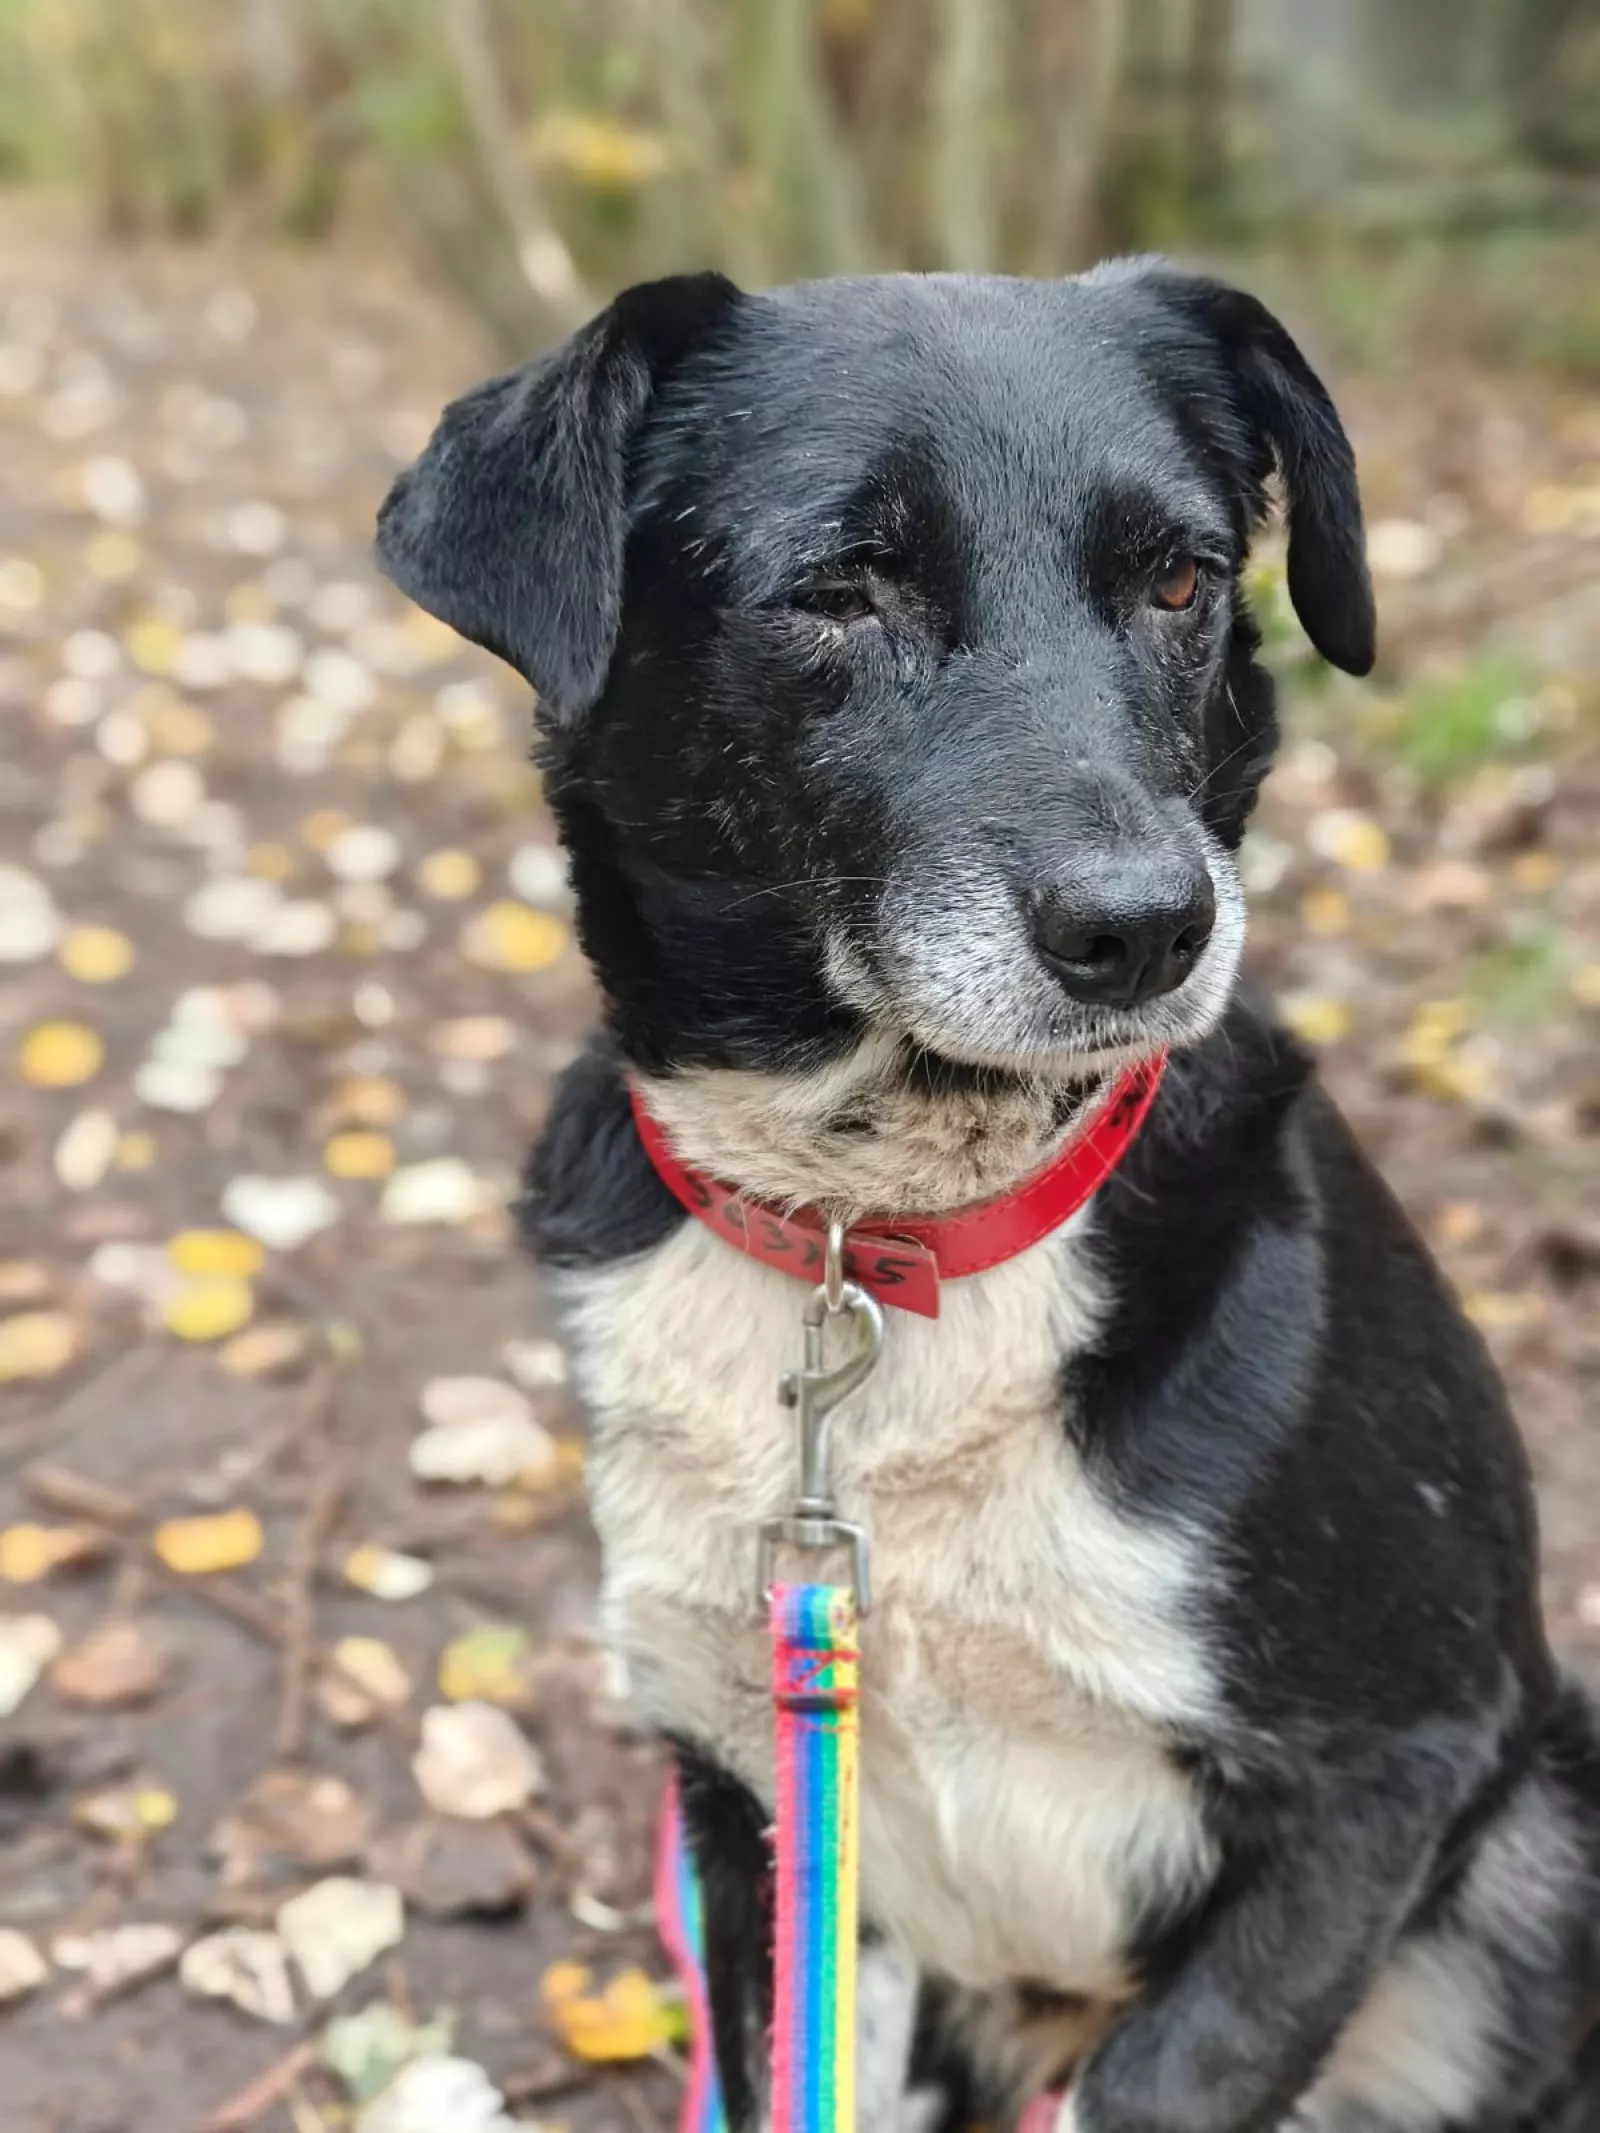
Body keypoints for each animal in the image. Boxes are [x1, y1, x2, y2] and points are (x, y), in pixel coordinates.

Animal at [378, 260, 1600, 2132]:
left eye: (1180, 577)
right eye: (840, 588)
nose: (1149, 927)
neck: (881, 1222)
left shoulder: (1400, 1759)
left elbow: (1161, 2081)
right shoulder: (753, 1807)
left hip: (1540, 1846)